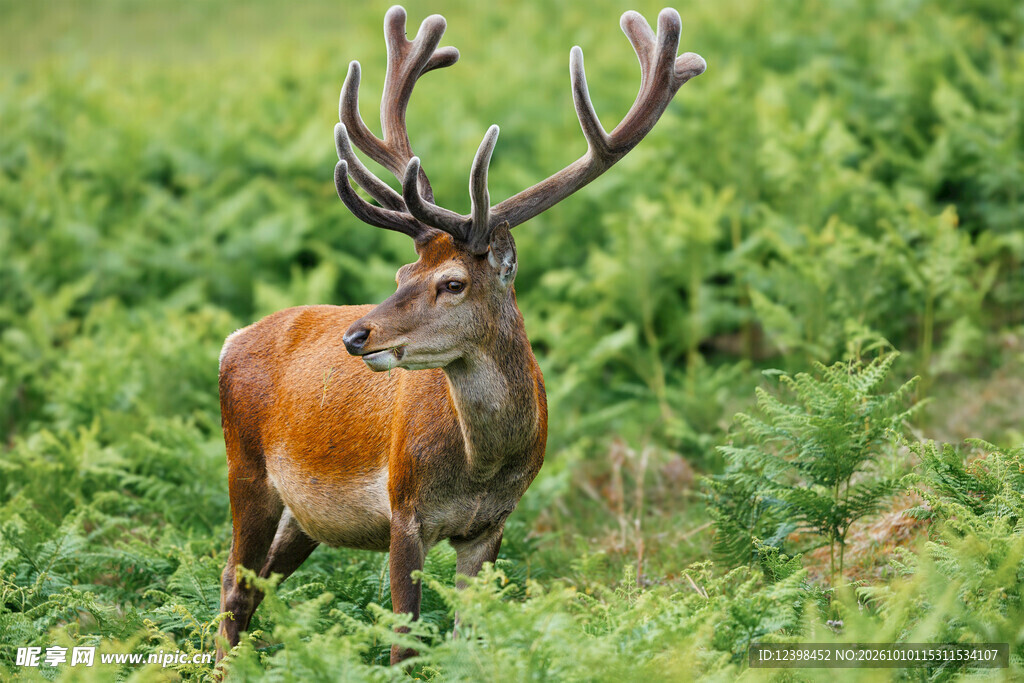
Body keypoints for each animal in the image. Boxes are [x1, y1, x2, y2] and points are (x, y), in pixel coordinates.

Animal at [215, 4, 704, 665]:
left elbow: (466, 636)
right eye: (403, 273)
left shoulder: (490, 527)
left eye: (452, 283)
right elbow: (403, 641)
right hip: (246, 469)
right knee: (233, 584)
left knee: (251, 584)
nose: (356, 336)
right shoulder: (404, 512)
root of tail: (232, 339)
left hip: (302, 516)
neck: (479, 469)